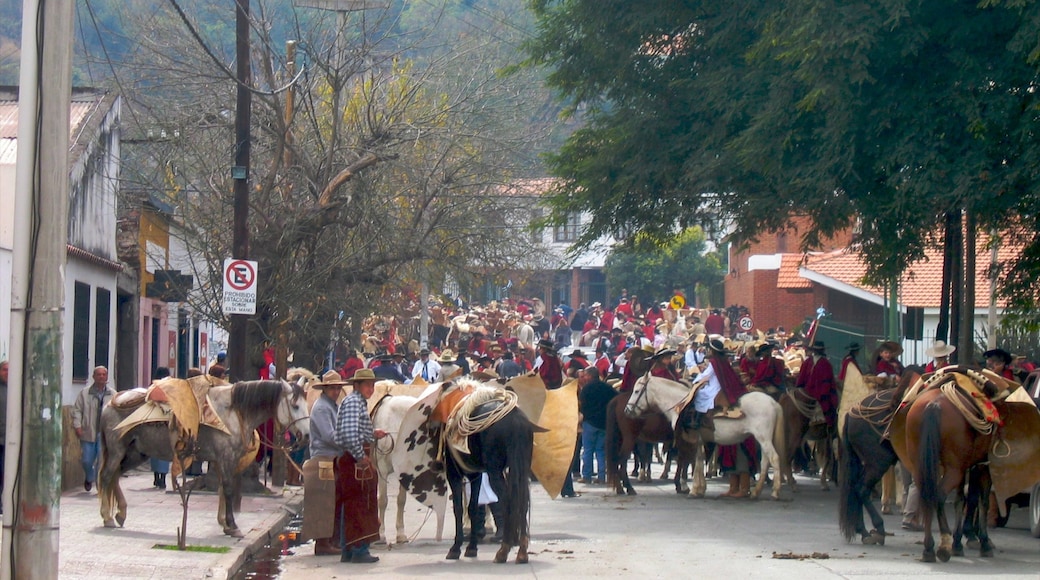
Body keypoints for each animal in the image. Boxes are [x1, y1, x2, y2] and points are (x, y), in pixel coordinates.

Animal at [97, 380, 307, 540]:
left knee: (115, 475)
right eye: (295, 406)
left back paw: (121, 513)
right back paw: (107, 517)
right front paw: (233, 526)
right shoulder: (226, 458)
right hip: (117, 450)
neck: (231, 413)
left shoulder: (222, 460)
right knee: (107, 476)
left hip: (135, 453)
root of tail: (109, 405)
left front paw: (224, 524)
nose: (305, 435)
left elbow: (222, 489)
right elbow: (228, 489)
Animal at [619, 378, 782, 501]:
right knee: (765, 461)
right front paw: (699, 489)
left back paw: (775, 491)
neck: (681, 405)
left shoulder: (691, 439)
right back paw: (756, 492)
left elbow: (691, 462)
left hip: (763, 438)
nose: (627, 410)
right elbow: (697, 460)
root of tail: (773, 403)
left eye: (637, 391)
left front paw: (691, 489)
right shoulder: (699, 441)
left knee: (774, 458)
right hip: (763, 439)